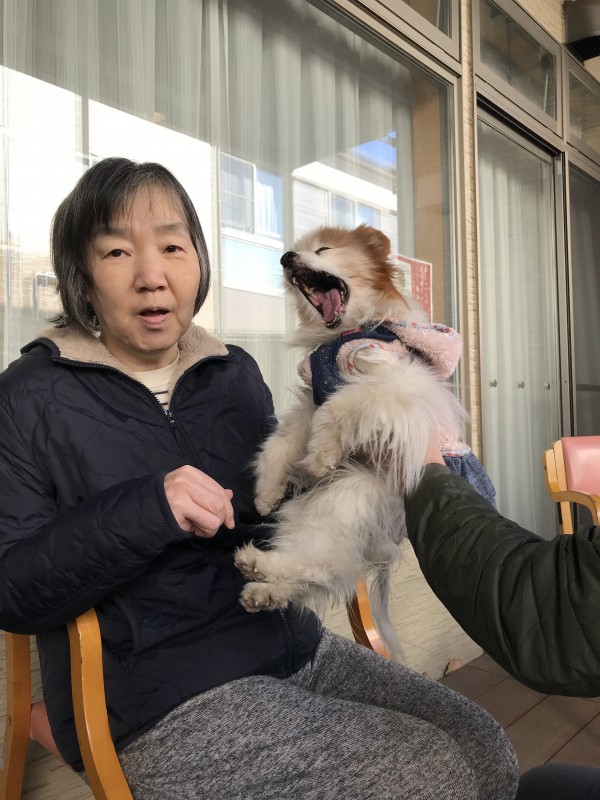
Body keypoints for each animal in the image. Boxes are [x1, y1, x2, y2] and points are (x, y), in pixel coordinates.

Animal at [234, 224, 466, 655]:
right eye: (295, 252)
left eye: (324, 249)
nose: (286, 257)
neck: (342, 333)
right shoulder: (311, 397)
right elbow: (280, 444)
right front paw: (267, 493)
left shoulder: (392, 382)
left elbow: (338, 410)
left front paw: (320, 455)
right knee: (320, 565)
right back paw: (263, 583)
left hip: (348, 493)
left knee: (321, 564)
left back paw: (262, 572)